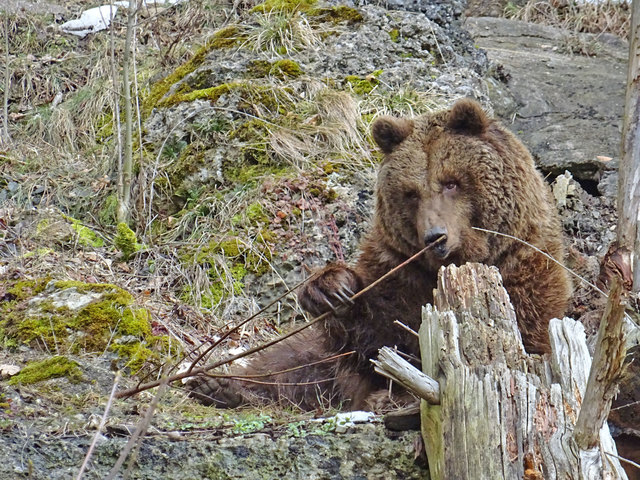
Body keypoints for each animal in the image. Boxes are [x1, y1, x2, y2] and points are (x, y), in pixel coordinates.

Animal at [188, 98, 572, 411]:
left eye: (451, 182)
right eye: (411, 192)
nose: (435, 236)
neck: (453, 263)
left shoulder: (522, 269)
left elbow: (517, 337)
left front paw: (397, 396)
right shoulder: (398, 269)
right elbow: (376, 339)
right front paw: (332, 289)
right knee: (291, 364)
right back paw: (221, 386)